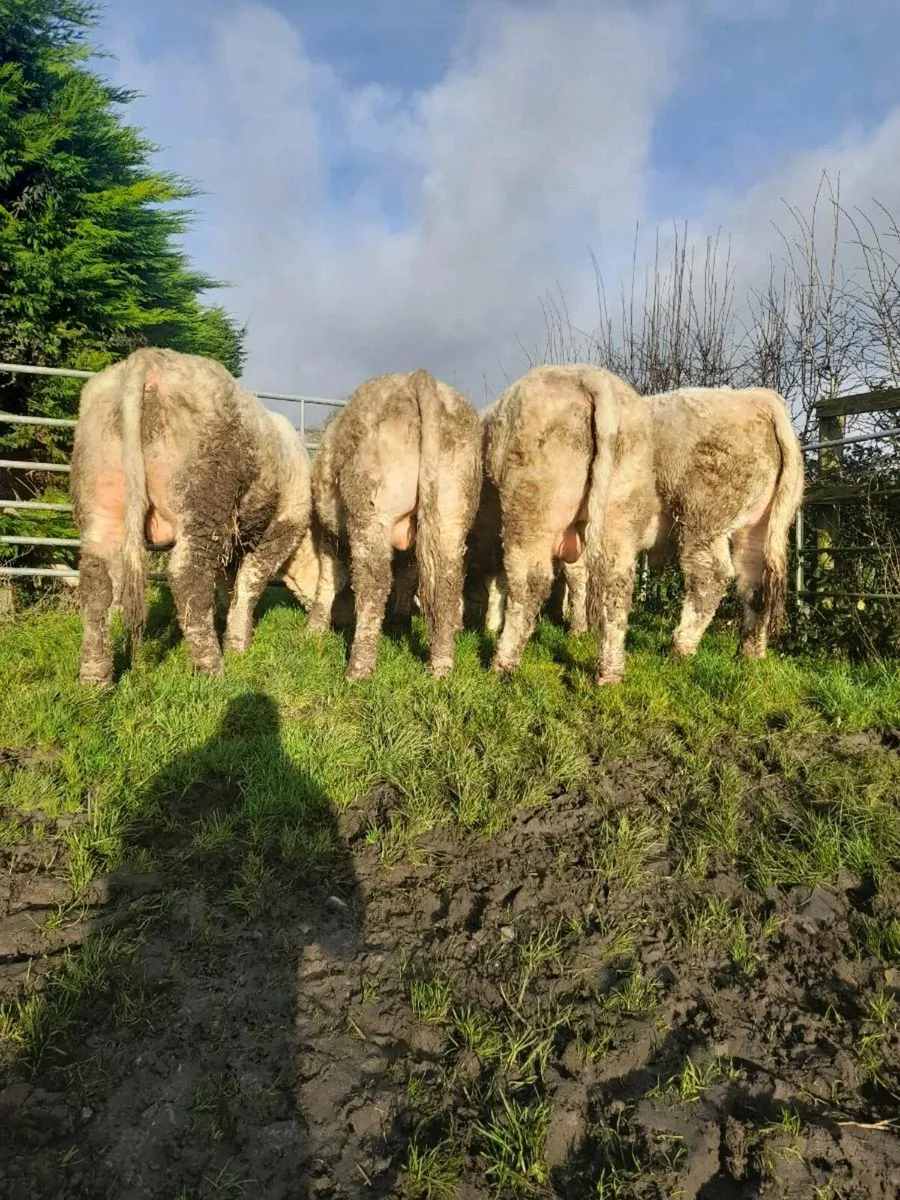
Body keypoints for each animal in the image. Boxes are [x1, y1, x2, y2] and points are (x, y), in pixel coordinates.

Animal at [71, 347, 312, 686]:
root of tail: (147, 359)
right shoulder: (283, 526)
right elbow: (250, 583)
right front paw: (238, 645)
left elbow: (228, 587)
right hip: (203, 498)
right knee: (188, 573)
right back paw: (211, 668)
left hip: (100, 495)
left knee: (97, 580)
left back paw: (95, 679)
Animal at [304, 370, 482, 680]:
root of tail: (417, 377)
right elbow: (408, 575)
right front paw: (401, 617)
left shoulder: (330, 533)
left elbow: (328, 578)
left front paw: (314, 629)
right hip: (450, 516)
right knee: (446, 583)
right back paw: (441, 665)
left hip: (371, 513)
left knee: (373, 584)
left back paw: (358, 669)